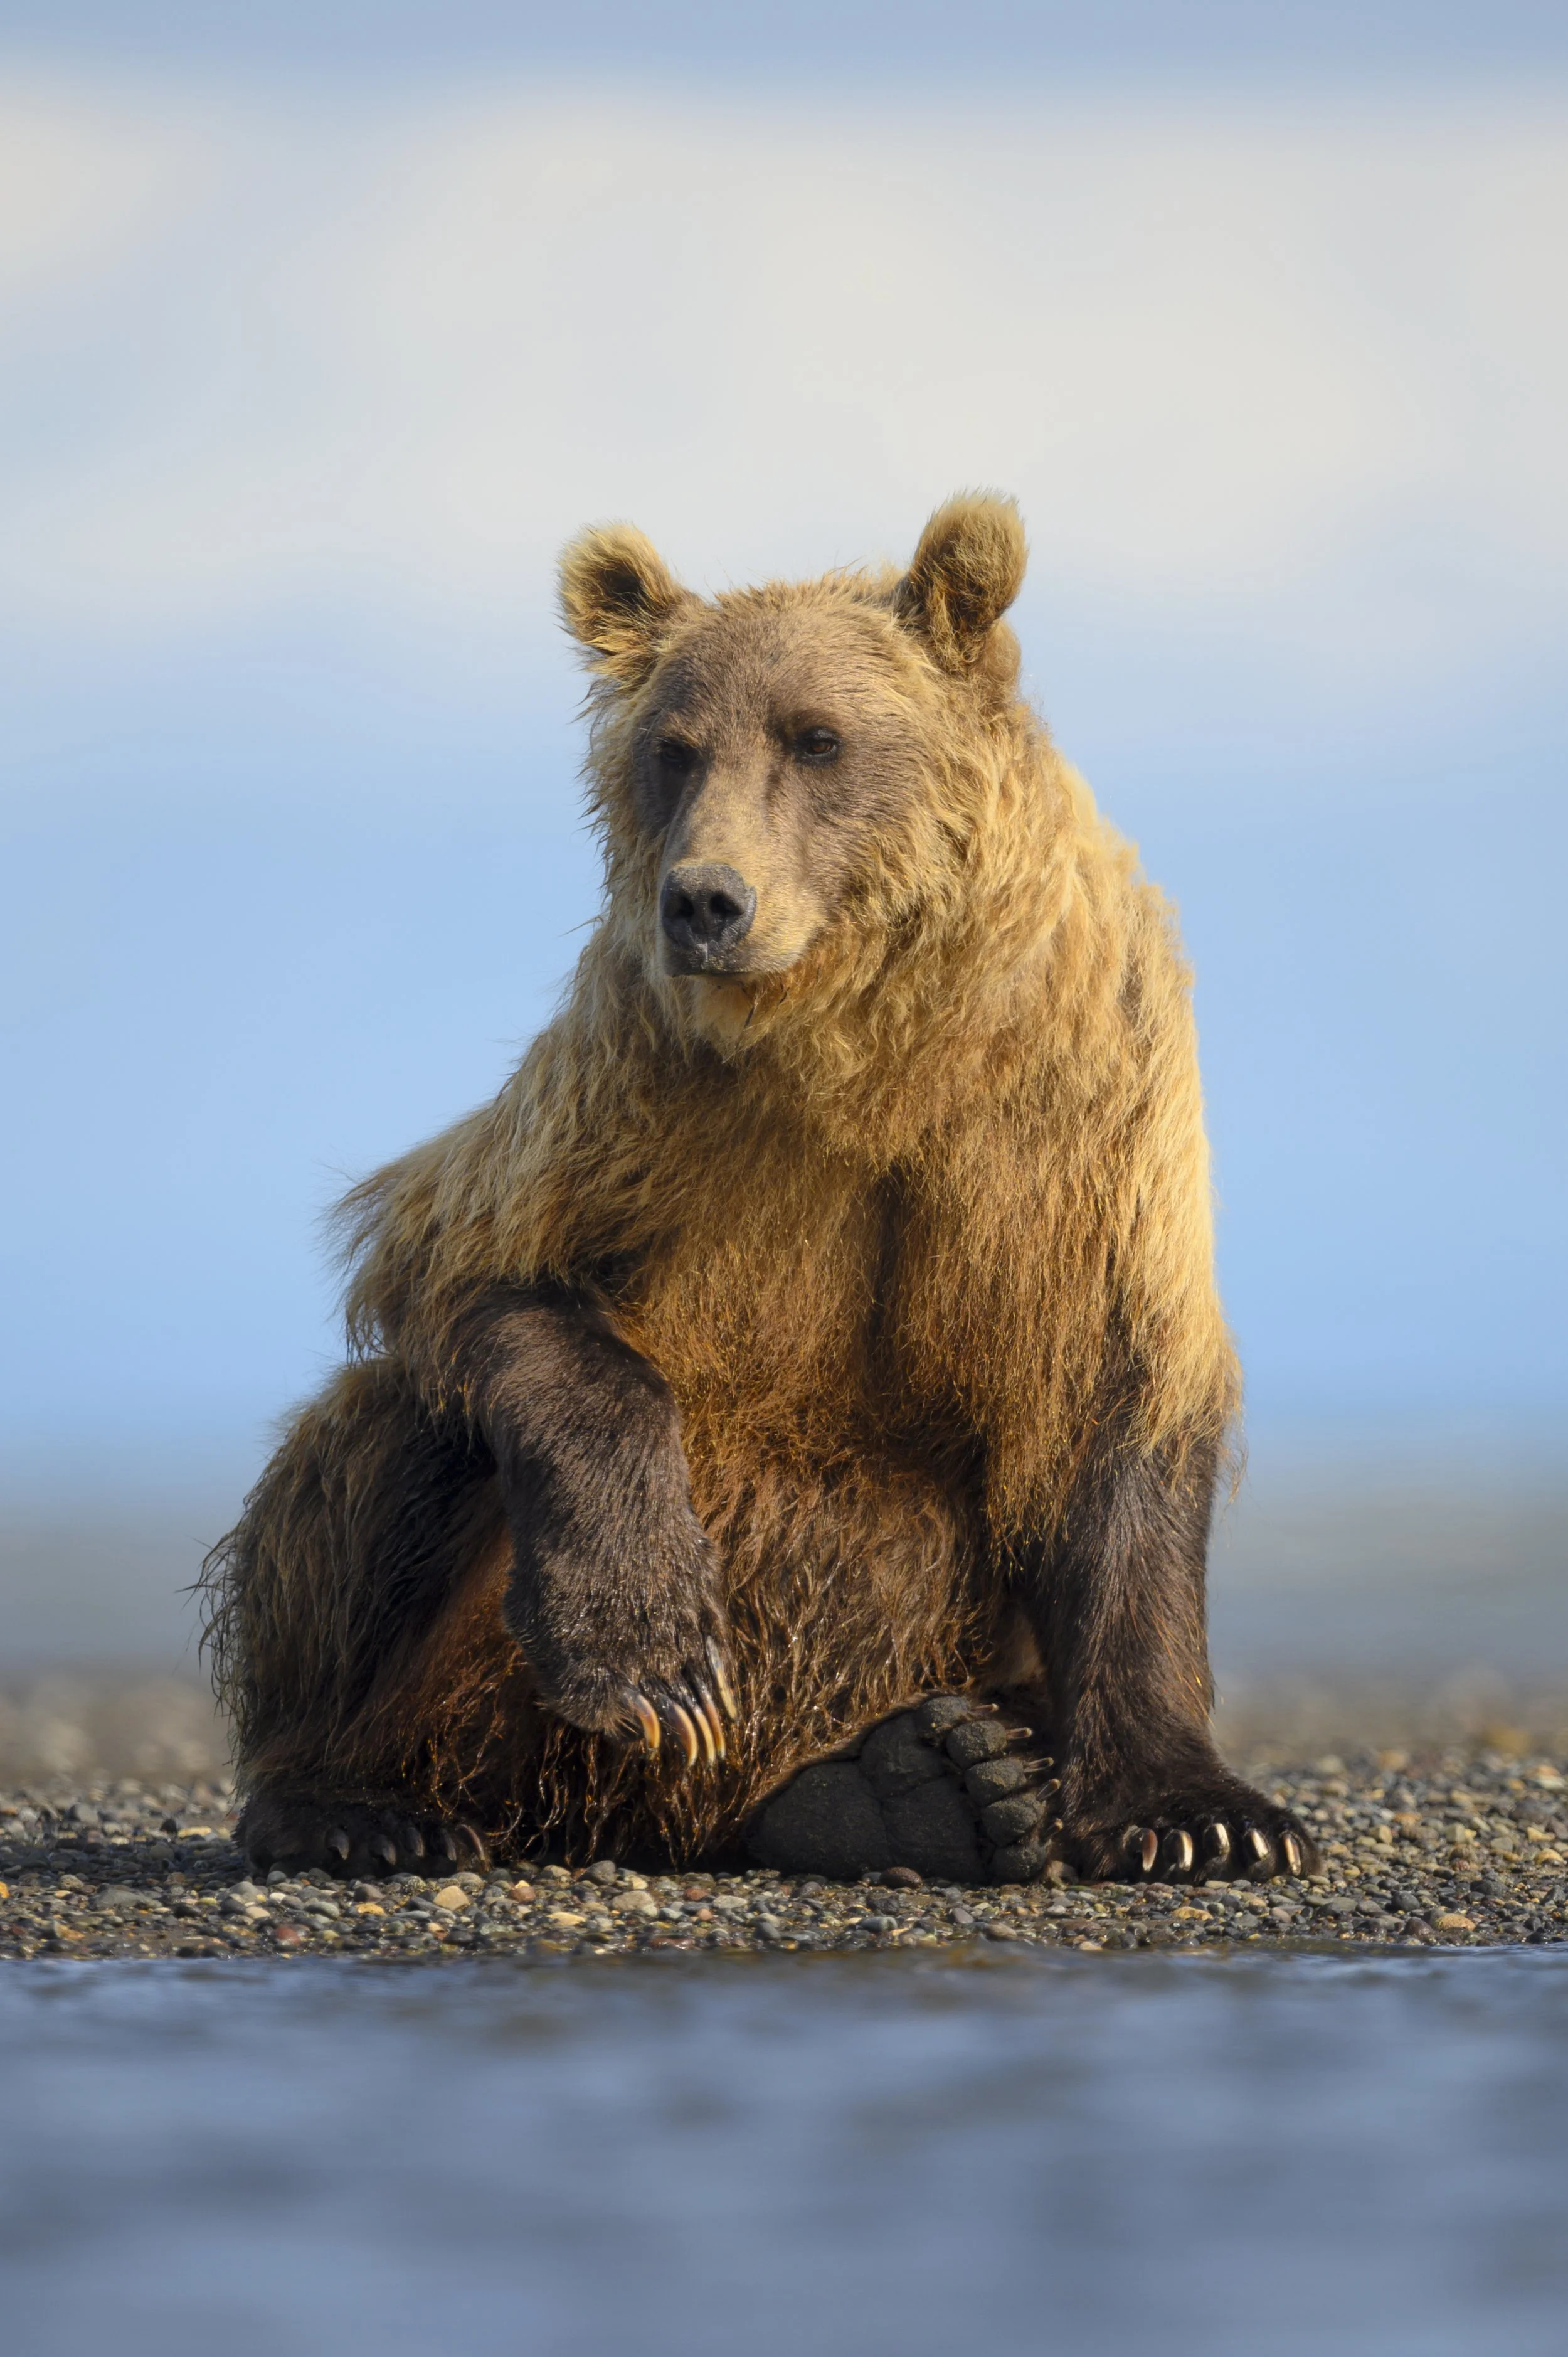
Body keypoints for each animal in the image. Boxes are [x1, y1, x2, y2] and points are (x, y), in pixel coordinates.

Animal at [201, 493, 1317, 1891]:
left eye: (817, 737)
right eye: (675, 750)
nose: (705, 902)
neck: (866, 1047)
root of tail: (644, 1825)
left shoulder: (1077, 1117)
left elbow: (1113, 1399)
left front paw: (1204, 1813)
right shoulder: (631, 1099)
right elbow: (477, 1272)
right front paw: (650, 1656)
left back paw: (932, 1783)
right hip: (474, 1692)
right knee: (382, 1449)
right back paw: (355, 1802)